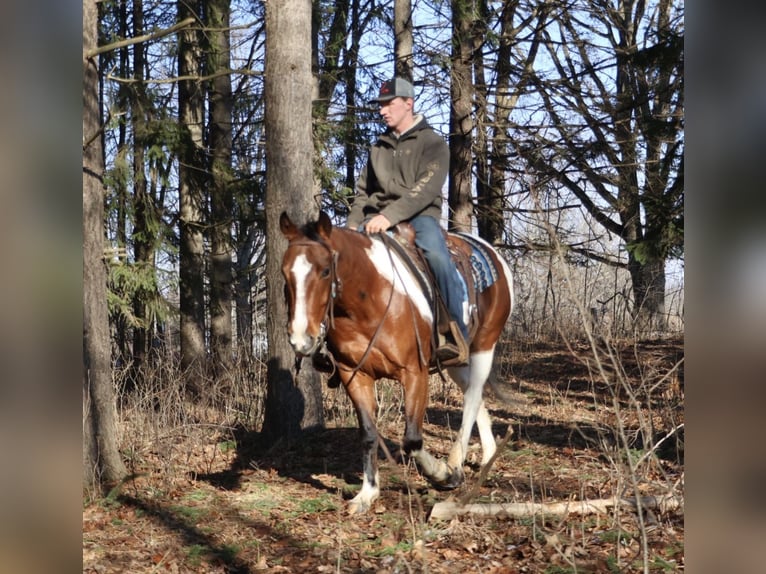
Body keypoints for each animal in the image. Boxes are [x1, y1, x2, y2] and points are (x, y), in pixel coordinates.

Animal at [279, 211, 513, 514]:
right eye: (284, 273)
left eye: (325, 271)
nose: (300, 338)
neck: (368, 301)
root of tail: (492, 252)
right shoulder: (354, 375)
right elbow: (368, 434)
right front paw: (367, 494)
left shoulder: (415, 373)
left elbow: (412, 439)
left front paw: (441, 474)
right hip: (456, 361)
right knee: (473, 393)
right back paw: (487, 455)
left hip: (484, 344)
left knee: (473, 396)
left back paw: (455, 464)